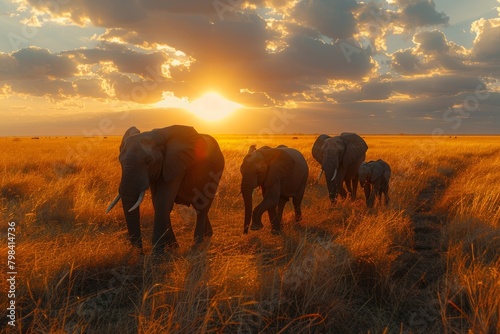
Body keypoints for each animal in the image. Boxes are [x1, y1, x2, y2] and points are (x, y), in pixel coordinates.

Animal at [107, 124, 225, 253]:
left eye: (148, 161)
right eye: (120, 160)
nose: (141, 254)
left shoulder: (175, 165)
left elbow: (162, 202)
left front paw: (158, 252)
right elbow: (158, 202)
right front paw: (173, 247)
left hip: (216, 171)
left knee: (202, 205)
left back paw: (197, 243)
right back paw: (208, 235)